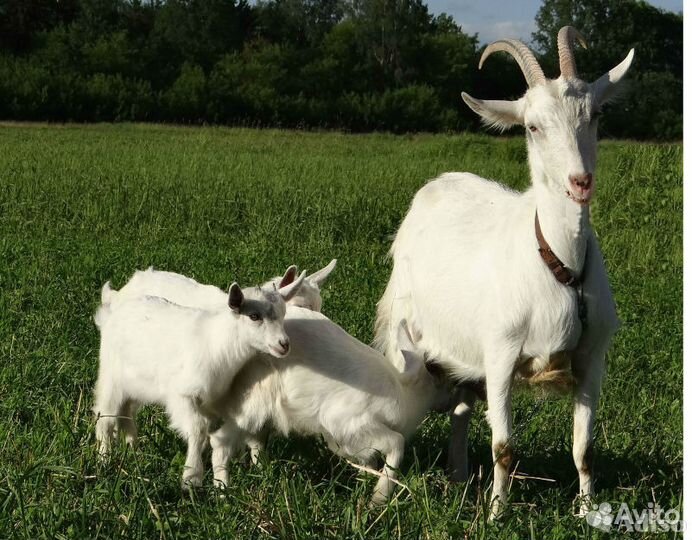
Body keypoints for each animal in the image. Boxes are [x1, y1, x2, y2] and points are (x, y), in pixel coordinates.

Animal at [92, 271, 305, 488]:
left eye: (283, 313)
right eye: (254, 316)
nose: (284, 344)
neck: (215, 343)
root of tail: (113, 307)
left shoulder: (213, 400)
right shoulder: (182, 395)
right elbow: (198, 429)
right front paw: (192, 477)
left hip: (134, 385)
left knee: (125, 413)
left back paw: (133, 450)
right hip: (110, 376)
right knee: (105, 417)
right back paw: (104, 460)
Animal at [209, 310, 448, 505]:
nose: (446, 406)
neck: (405, 392)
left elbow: (368, 458)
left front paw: (366, 480)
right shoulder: (348, 422)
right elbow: (396, 443)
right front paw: (379, 497)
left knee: (255, 441)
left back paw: (264, 472)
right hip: (253, 403)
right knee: (220, 441)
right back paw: (223, 493)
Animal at [374, 27, 633, 517]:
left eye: (595, 114)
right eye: (532, 127)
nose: (580, 182)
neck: (559, 265)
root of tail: (439, 182)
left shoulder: (593, 355)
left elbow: (584, 449)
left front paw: (588, 510)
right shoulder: (500, 353)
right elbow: (504, 447)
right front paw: (497, 514)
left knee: (460, 409)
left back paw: (458, 476)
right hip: (406, 325)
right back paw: (384, 490)